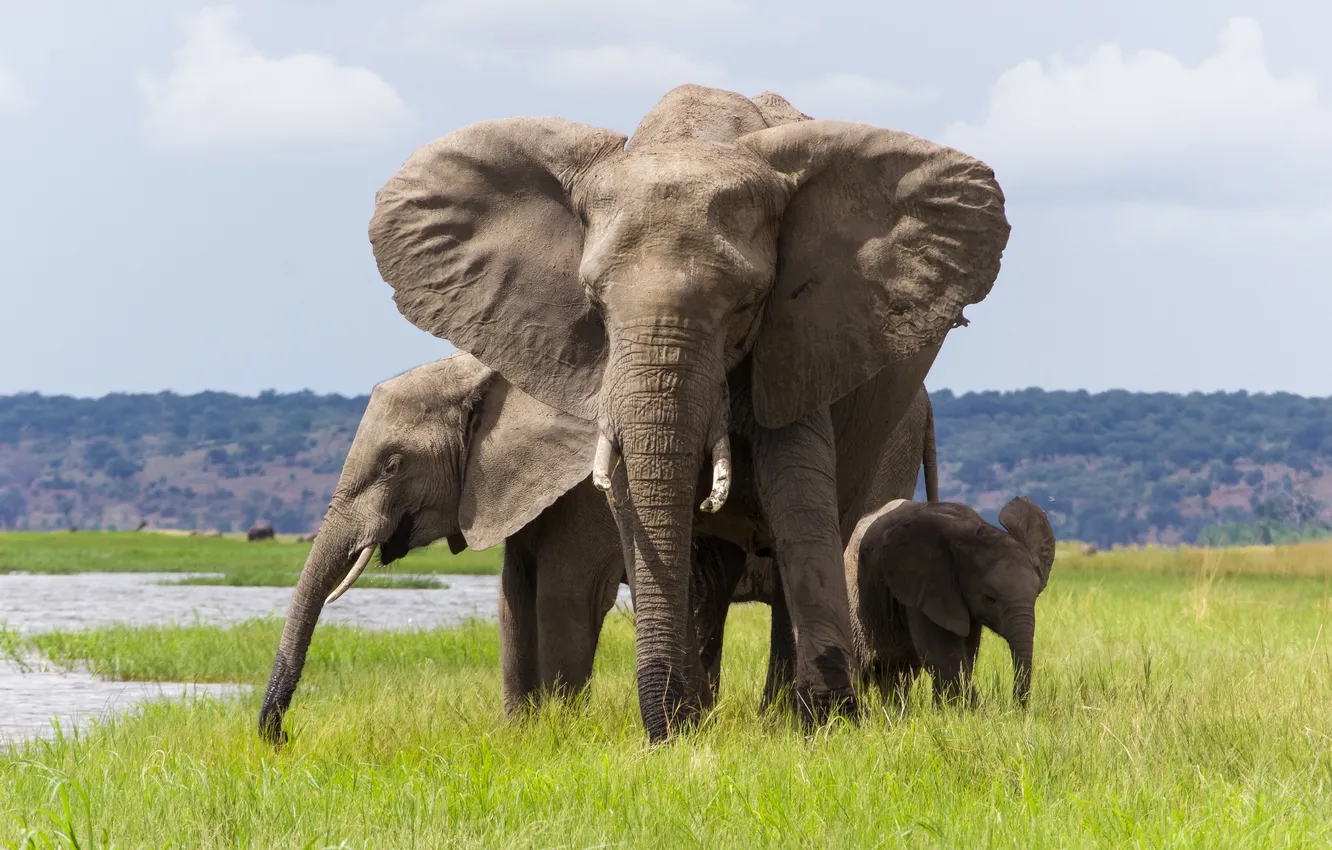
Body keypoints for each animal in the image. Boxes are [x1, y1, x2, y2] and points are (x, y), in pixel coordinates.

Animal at [368, 83, 1010, 740]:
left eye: (747, 303)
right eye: (593, 300)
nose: (661, 730)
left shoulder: (804, 339)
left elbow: (799, 498)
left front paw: (828, 722)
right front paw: (683, 726)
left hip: (889, 429)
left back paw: (781, 715)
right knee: (710, 569)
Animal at [845, 496, 1055, 708]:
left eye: (1036, 595)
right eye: (989, 599)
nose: (1017, 708)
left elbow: (966, 654)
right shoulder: (927, 587)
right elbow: (944, 658)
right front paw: (971, 710)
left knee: (896, 674)